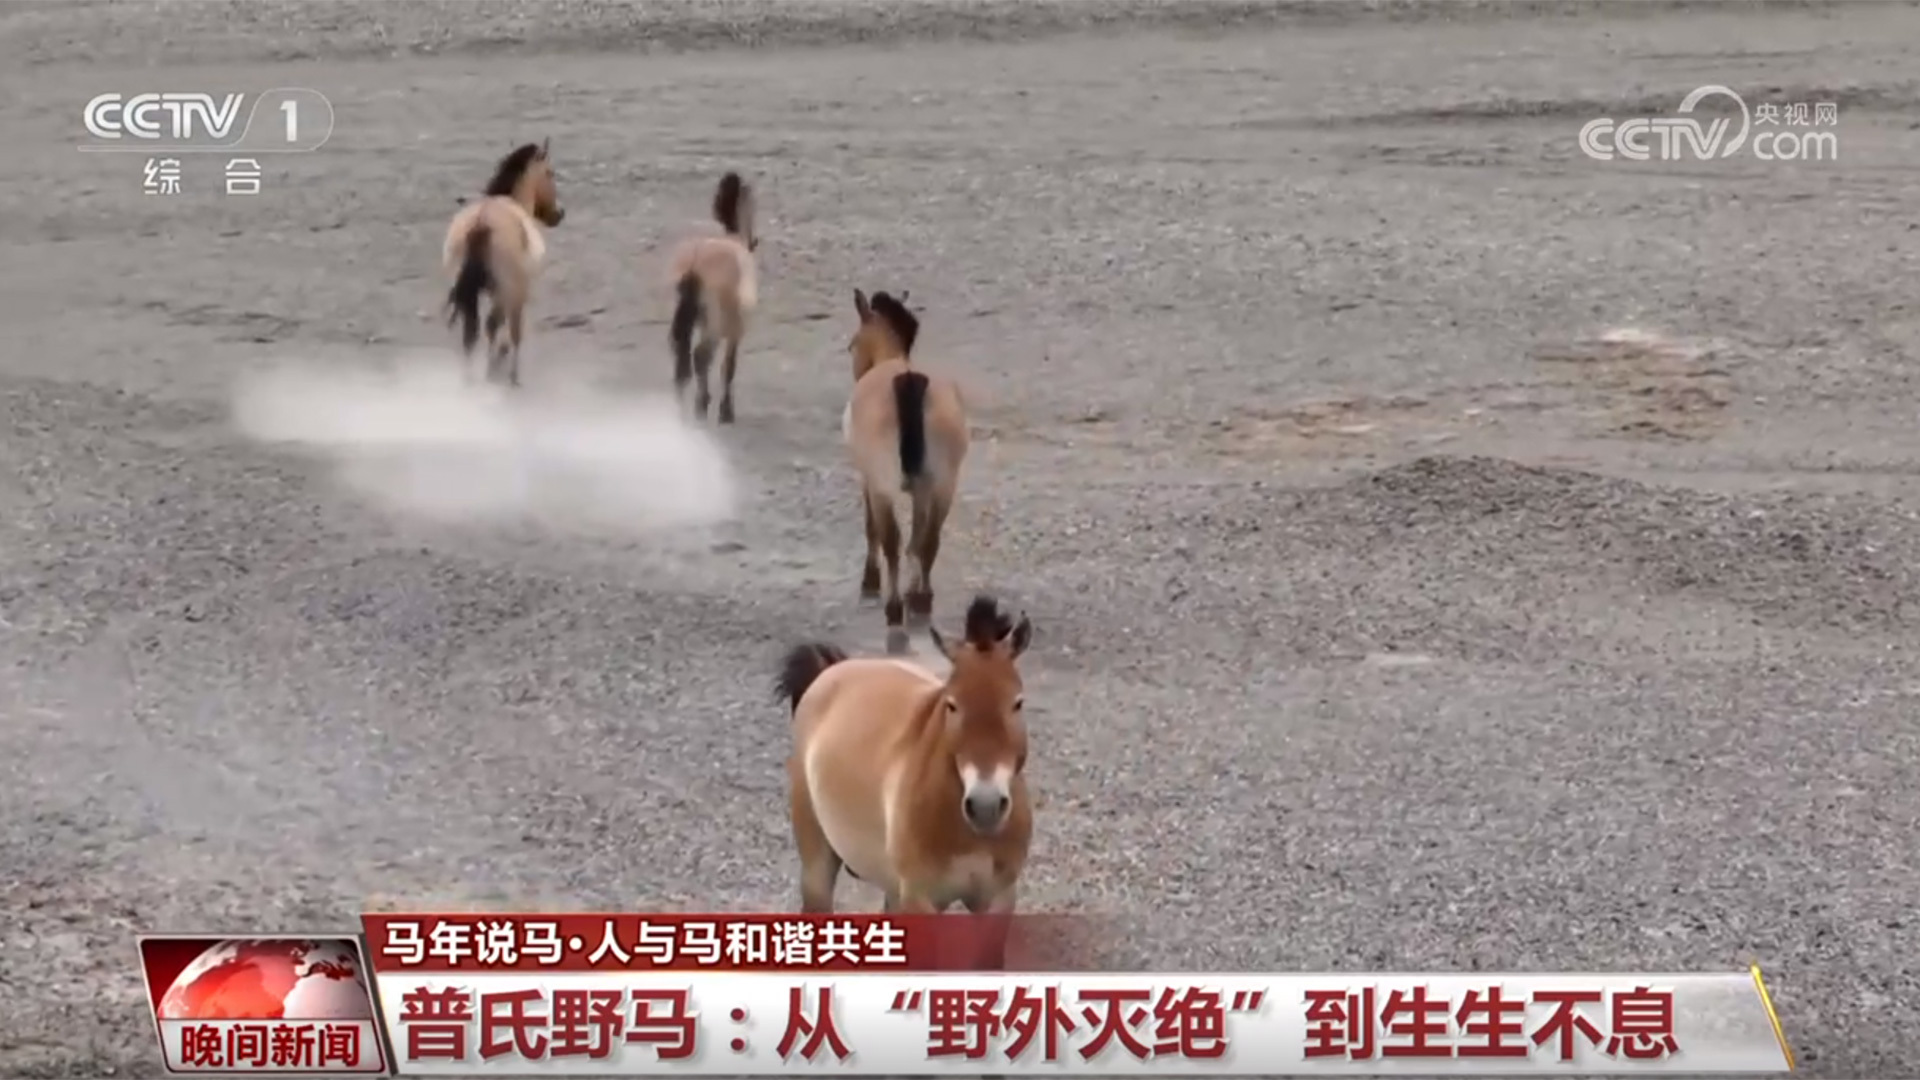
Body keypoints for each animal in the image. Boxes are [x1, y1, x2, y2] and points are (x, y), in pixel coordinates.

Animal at [443, 139, 565, 387]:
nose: (559, 213)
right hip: (508, 289)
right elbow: (511, 331)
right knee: (493, 326)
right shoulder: (516, 293)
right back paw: (504, 375)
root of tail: (482, 223)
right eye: (550, 172)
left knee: (471, 334)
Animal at [667, 172, 759, 423]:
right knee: (700, 356)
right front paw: (726, 411)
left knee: (683, 358)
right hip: (714, 325)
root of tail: (694, 267)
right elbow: (729, 367)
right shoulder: (735, 331)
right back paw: (701, 405)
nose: (755, 241)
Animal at [775, 594, 1035, 936]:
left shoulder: (998, 901)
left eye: (1017, 703)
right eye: (951, 704)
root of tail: (833, 669)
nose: (986, 805)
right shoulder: (919, 899)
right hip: (817, 861)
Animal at [844, 289, 970, 640]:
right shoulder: (921, 491)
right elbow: (918, 540)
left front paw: (870, 582)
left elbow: (874, 530)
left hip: (886, 487)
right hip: (942, 486)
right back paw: (921, 600)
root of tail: (909, 380)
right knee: (929, 540)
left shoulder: (869, 482)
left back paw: (895, 607)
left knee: (892, 541)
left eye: (851, 345)